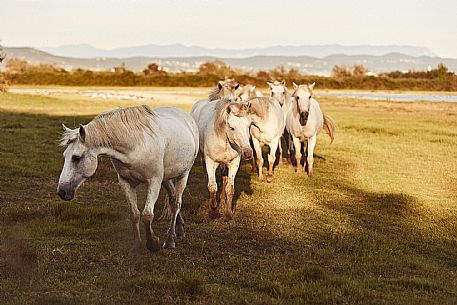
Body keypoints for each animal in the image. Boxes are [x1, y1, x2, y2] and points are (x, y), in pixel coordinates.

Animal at [56, 105, 198, 251]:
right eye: (65, 155)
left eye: (76, 158)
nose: (62, 191)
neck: (135, 146)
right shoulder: (126, 181)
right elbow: (134, 213)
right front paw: (137, 244)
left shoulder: (154, 181)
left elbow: (147, 215)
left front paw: (153, 243)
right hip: (166, 178)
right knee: (172, 198)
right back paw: (179, 230)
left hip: (183, 175)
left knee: (176, 203)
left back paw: (170, 241)